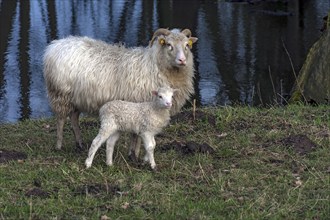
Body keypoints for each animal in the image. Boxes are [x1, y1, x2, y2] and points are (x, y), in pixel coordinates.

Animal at [43, 27, 199, 158]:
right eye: (169, 45)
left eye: (187, 45)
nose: (182, 60)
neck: (154, 65)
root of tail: (56, 45)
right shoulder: (140, 106)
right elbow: (137, 135)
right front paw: (135, 154)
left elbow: (134, 134)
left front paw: (132, 153)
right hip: (60, 94)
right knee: (61, 120)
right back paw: (59, 145)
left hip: (76, 98)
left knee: (74, 117)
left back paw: (79, 143)